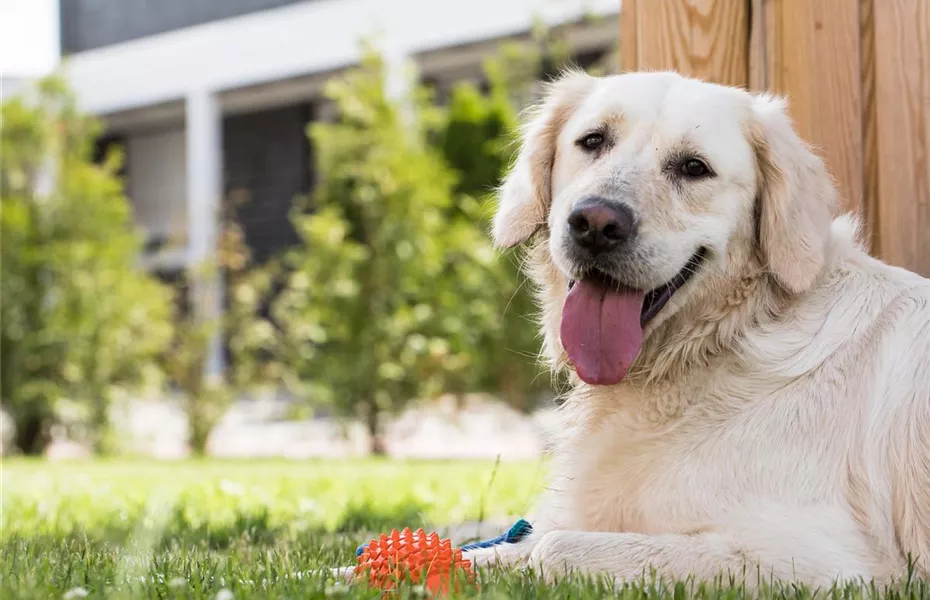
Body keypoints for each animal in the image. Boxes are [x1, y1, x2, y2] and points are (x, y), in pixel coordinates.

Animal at [472, 71, 928, 592]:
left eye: (694, 168)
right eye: (592, 141)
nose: (596, 223)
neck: (733, 335)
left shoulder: (823, 563)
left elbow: (551, 548)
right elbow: (481, 551)